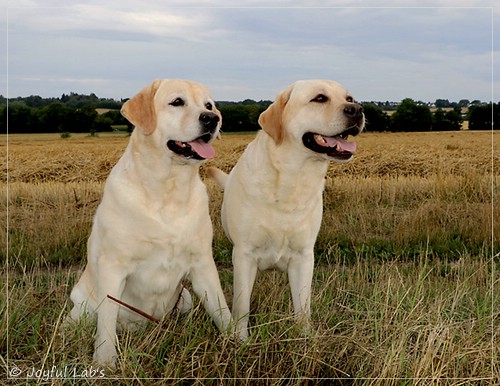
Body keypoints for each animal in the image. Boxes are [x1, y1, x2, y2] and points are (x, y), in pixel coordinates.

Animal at [209, 79, 366, 340]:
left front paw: (305, 337)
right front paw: (241, 340)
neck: (291, 179)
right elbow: (242, 304)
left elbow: (303, 305)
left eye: (349, 98)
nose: (358, 110)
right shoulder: (244, 254)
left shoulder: (304, 256)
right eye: (319, 98)